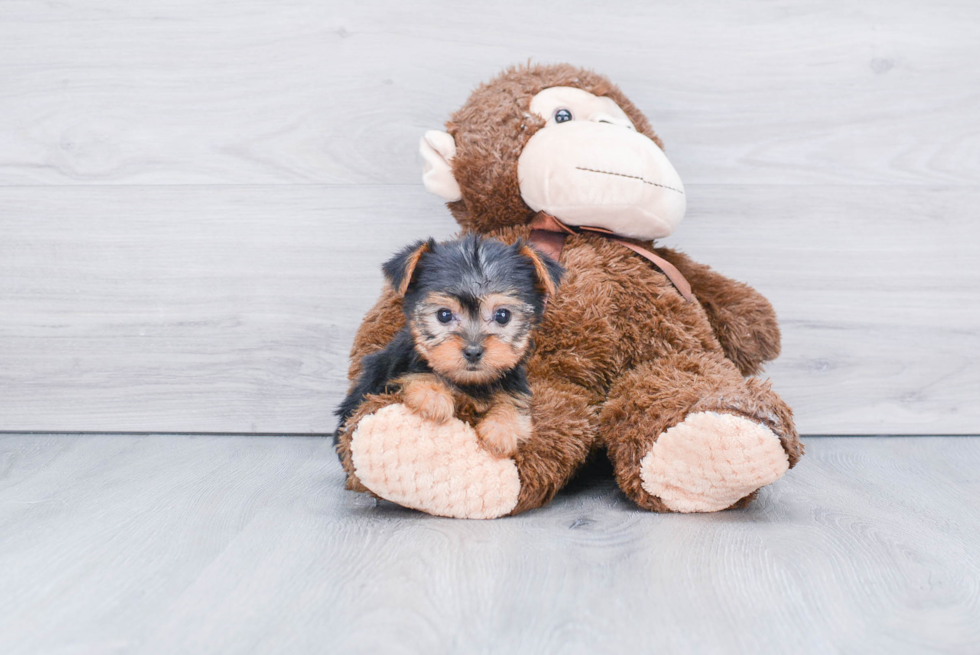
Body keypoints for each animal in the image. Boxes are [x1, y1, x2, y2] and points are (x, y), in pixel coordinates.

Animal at [338, 234, 564, 456]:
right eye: (444, 315)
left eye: (503, 315)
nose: (473, 352)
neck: (470, 384)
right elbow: (413, 375)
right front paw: (432, 394)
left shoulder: (515, 385)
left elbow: (514, 402)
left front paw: (502, 429)